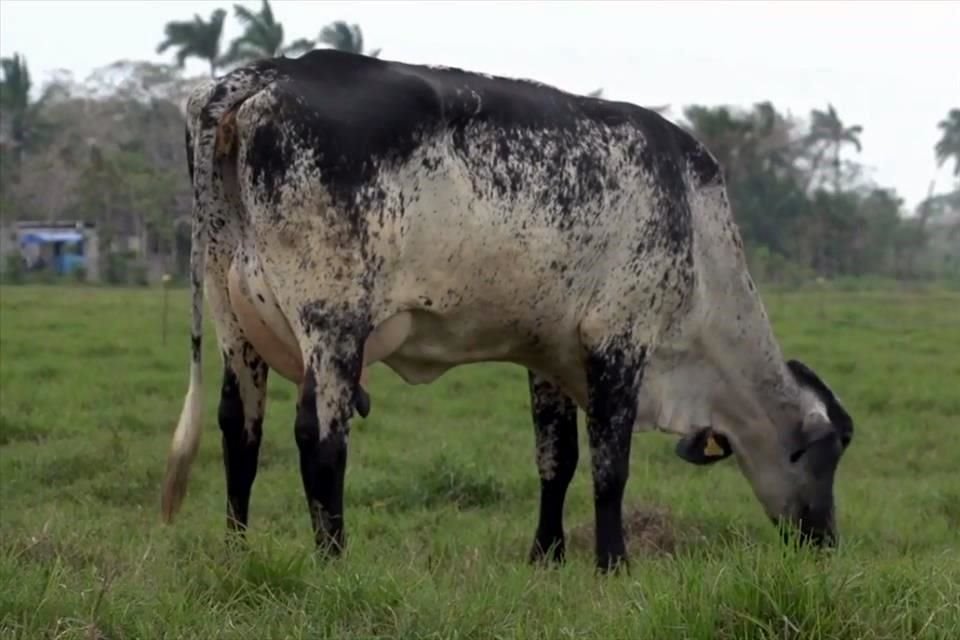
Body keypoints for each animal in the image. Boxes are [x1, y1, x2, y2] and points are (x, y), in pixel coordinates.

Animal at [160, 49, 854, 573]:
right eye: (828, 456)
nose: (825, 541)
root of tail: (259, 77)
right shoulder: (620, 342)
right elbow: (611, 466)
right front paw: (613, 564)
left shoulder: (548, 352)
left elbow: (557, 461)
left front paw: (547, 556)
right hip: (332, 321)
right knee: (320, 438)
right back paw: (333, 562)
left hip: (231, 318)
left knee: (239, 430)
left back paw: (237, 554)